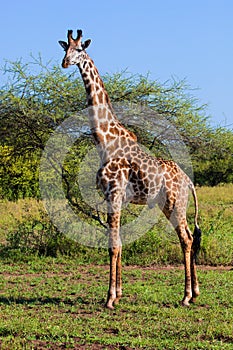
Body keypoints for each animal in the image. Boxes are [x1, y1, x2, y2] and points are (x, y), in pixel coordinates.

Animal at [57, 29, 200, 308]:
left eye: (80, 50)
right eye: (63, 48)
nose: (65, 63)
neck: (104, 140)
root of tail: (188, 182)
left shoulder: (113, 193)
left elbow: (113, 245)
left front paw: (110, 298)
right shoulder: (114, 198)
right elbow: (119, 243)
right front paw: (119, 292)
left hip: (175, 204)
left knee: (186, 238)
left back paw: (186, 296)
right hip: (170, 206)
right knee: (189, 235)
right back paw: (196, 291)